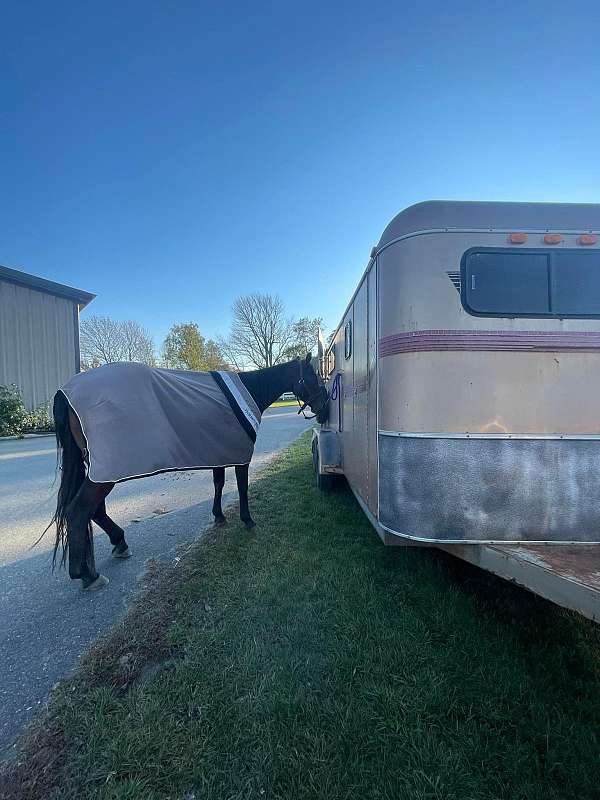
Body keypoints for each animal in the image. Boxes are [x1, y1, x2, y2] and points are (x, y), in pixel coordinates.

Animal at [47, 354, 328, 592]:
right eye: (313, 377)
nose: (325, 408)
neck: (250, 391)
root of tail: (65, 392)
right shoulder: (240, 457)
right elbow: (242, 487)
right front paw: (247, 520)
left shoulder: (219, 451)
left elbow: (218, 483)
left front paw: (219, 516)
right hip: (104, 473)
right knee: (78, 511)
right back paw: (87, 575)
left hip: (98, 470)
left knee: (92, 510)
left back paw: (118, 544)